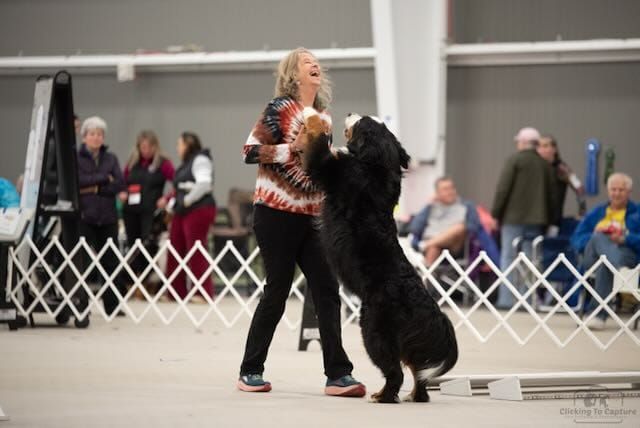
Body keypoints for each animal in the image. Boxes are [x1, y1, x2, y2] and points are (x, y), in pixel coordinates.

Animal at [298, 108, 456, 402]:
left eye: (363, 121)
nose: (350, 112)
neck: (377, 166)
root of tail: (432, 311)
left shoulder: (328, 169)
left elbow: (318, 146)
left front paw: (312, 114)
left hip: (373, 330)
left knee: (396, 372)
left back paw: (384, 396)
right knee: (418, 373)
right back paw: (413, 396)